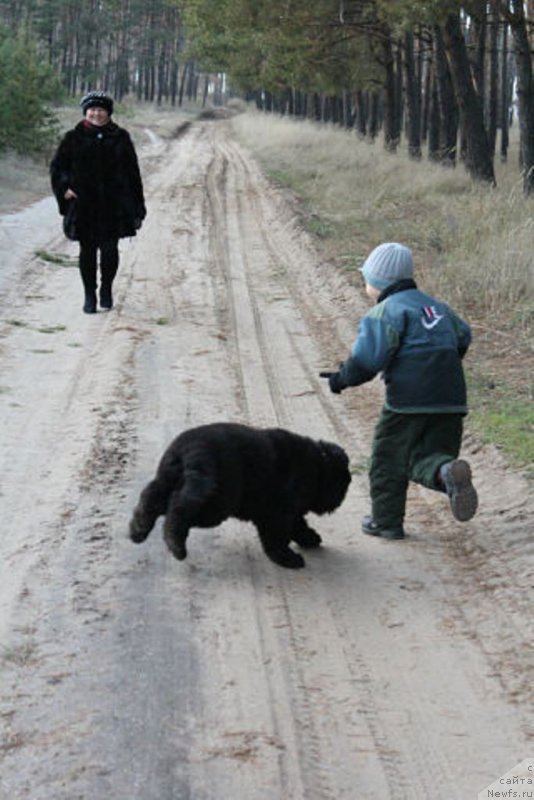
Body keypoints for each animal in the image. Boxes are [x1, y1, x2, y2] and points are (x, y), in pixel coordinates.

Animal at [130, 424, 352, 568]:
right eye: (343, 484)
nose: (341, 500)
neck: (319, 465)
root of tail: (188, 450)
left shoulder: (290, 512)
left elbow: (299, 526)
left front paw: (310, 538)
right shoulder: (278, 514)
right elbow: (278, 537)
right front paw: (287, 558)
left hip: (170, 478)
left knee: (152, 497)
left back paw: (138, 529)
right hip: (216, 503)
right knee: (177, 510)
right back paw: (175, 543)